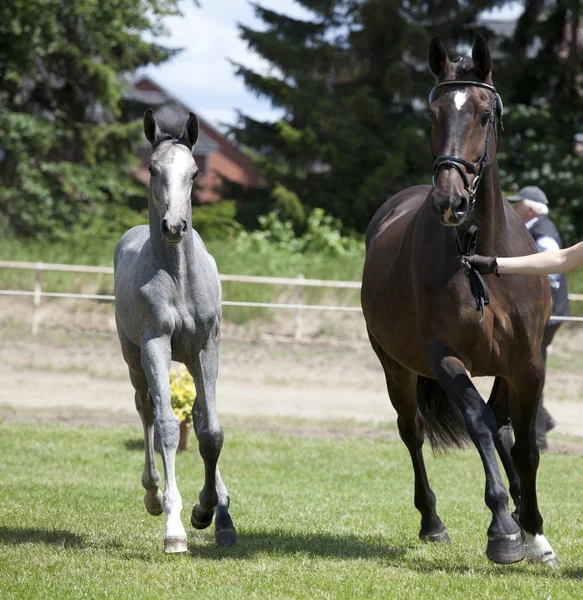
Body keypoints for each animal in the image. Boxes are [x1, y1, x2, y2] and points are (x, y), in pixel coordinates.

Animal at [362, 36, 560, 568]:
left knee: (505, 429)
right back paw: (433, 522)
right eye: (432, 113)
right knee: (412, 431)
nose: (449, 201)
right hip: (397, 368)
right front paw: (504, 529)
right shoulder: (447, 360)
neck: (481, 256)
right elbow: (479, 425)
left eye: (485, 115)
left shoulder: (527, 364)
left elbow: (524, 445)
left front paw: (534, 529)